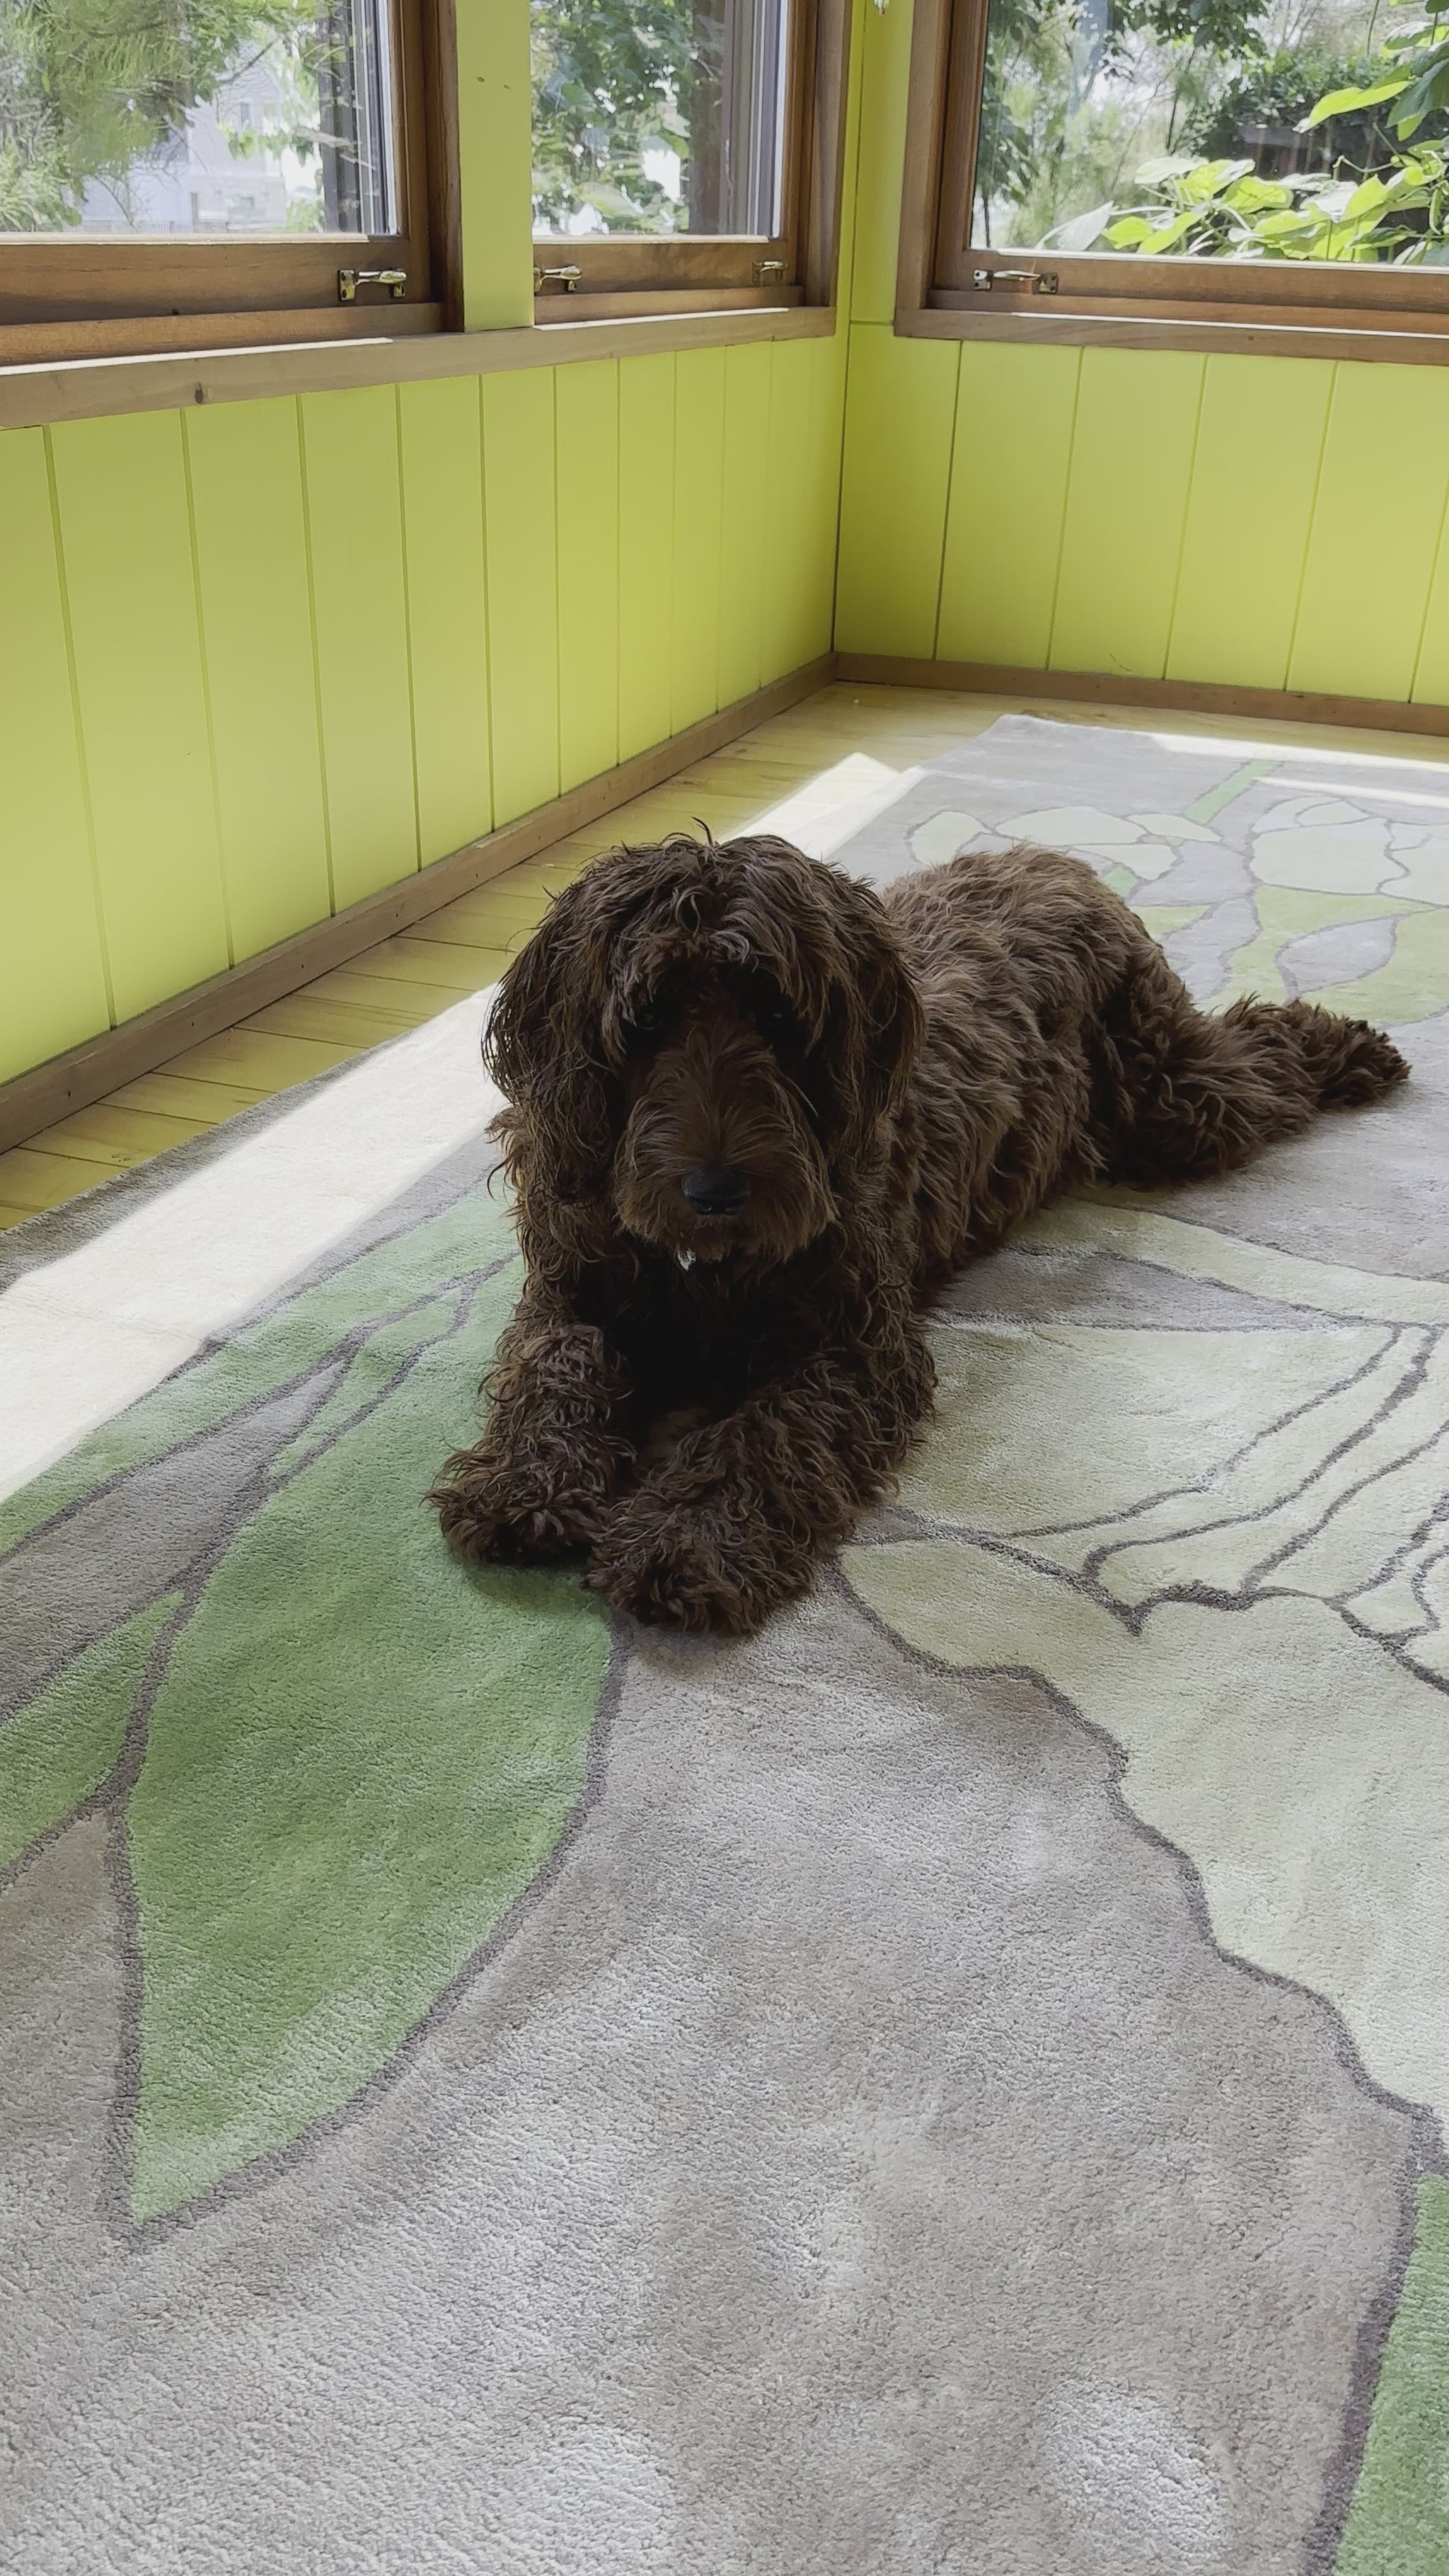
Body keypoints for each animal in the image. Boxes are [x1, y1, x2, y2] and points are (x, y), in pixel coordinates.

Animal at [425, 834, 1402, 1638]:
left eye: (776, 1017)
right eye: (649, 1018)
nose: (715, 1192)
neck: (703, 1269)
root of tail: (1052, 857)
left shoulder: (855, 1348)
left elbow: (761, 1433)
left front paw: (686, 1540)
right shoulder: (569, 1289)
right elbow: (556, 1366)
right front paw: (522, 1483)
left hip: (1173, 1097)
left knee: (1255, 1057)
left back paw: (1348, 1041)